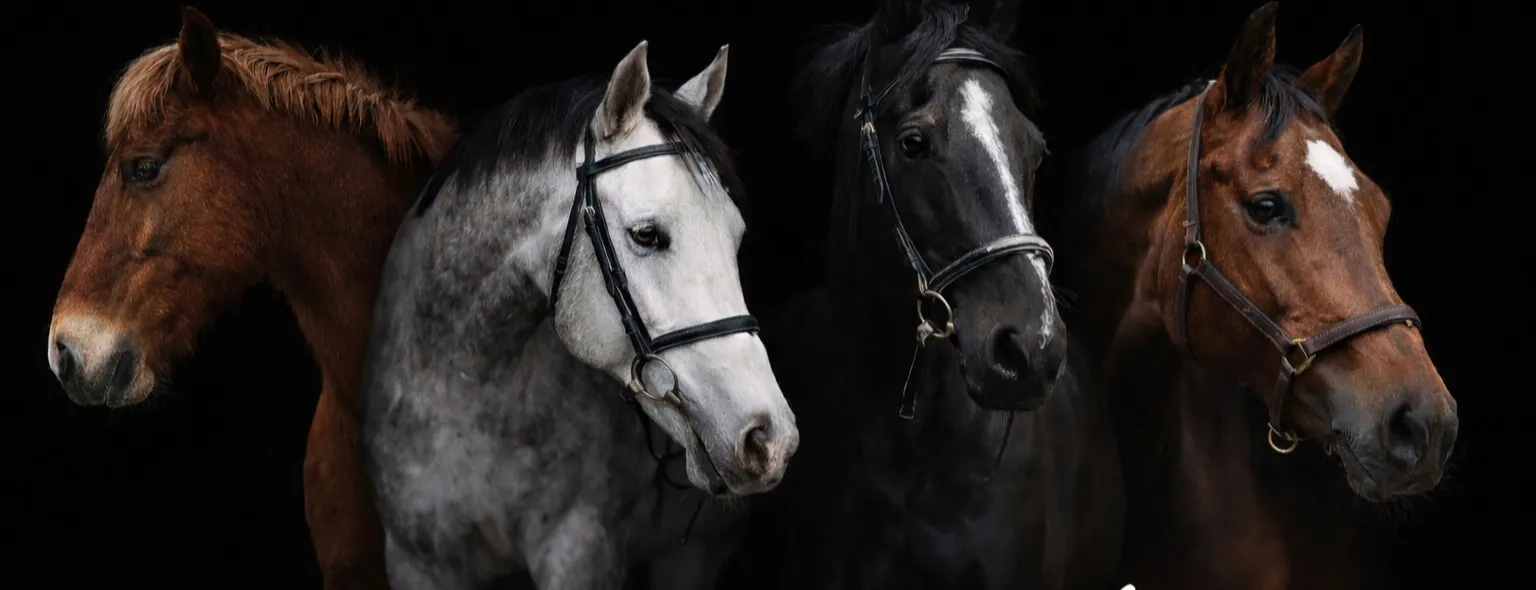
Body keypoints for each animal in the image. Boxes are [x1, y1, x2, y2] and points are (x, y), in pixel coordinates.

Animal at [359, 41, 800, 590]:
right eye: (647, 234)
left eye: (735, 236)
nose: (769, 438)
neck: (460, 387)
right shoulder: (415, 563)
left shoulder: (577, 553)